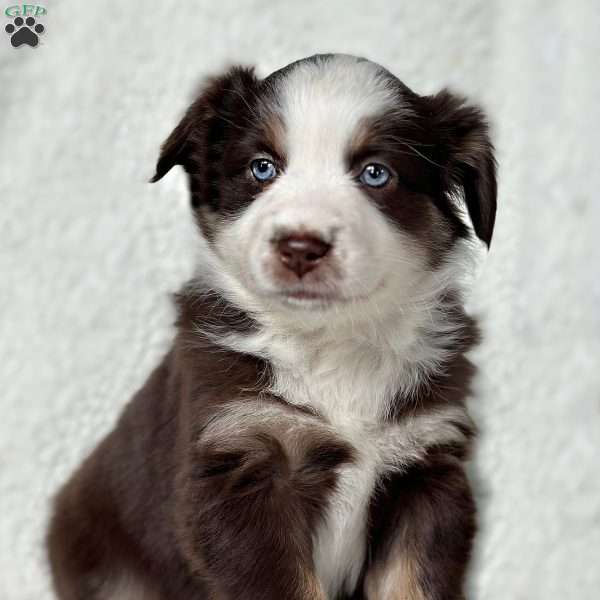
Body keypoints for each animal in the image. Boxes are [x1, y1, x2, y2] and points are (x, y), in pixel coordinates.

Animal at [47, 52, 496, 600]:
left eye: (376, 173)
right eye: (262, 168)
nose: (301, 246)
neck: (331, 344)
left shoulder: (427, 468)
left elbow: (413, 583)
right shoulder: (239, 464)